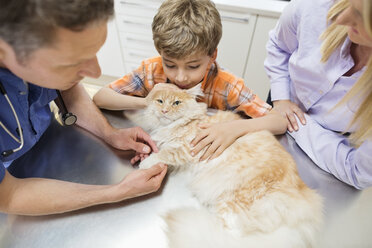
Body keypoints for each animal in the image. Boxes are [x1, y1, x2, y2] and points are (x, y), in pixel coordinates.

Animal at [125, 84, 322, 248]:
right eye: (160, 101)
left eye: (176, 103)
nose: (164, 110)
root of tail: (303, 196)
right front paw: (143, 152)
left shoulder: (187, 148)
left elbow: (164, 154)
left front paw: (146, 162)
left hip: (233, 203)